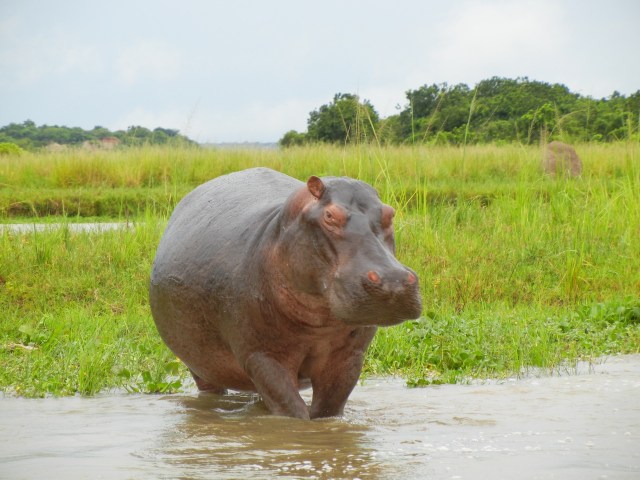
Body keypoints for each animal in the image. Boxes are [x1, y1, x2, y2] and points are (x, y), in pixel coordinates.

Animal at [149, 168, 422, 419]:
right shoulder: (262, 356)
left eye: (390, 213)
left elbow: (328, 411)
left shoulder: (349, 357)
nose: (393, 281)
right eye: (329, 215)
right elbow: (292, 412)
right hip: (200, 365)